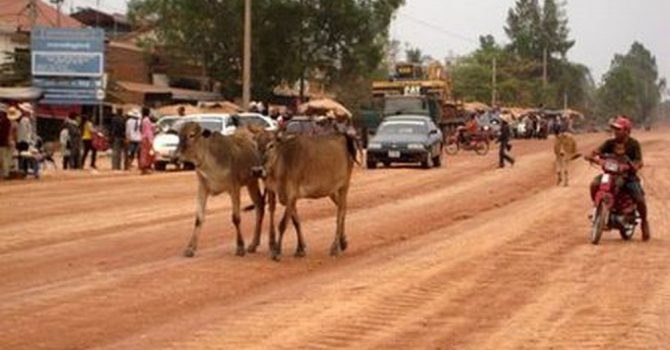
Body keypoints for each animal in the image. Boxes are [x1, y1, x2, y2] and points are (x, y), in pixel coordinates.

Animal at [177, 123, 266, 258]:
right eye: (179, 134)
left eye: (191, 135)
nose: (176, 155)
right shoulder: (202, 188)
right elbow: (199, 218)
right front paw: (190, 248)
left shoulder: (234, 188)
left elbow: (236, 218)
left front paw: (240, 247)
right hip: (252, 182)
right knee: (259, 204)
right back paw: (254, 244)